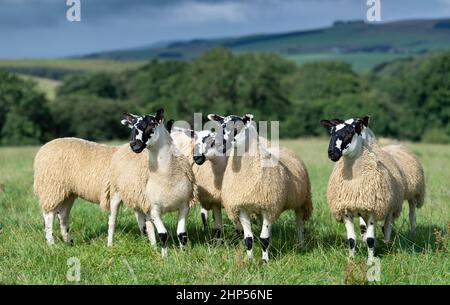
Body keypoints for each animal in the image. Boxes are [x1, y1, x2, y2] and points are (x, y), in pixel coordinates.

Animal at [104, 109, 198, 256]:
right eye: (132, 127)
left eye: (151, 124)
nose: (134, 144)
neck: (167, 176)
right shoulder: (155, 209)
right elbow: (163, 234)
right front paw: (165, 257)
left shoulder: (184, 206)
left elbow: (182, 234)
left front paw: (184, 254)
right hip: (116, 193)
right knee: (112, 221)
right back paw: (110, 246)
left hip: (141, 199)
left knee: (146, 224)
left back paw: (152, 246)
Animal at [320, 116, 426, 262]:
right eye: (331, 132)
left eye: (350, 132)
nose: (331, 153)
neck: (354, 180)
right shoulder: (347, 209)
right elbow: (351, 239)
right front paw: (351, 259)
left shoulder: (372, 209)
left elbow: (371, 239)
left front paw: (370, 261)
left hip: (404, 198)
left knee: (404, 219)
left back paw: (398, 239)